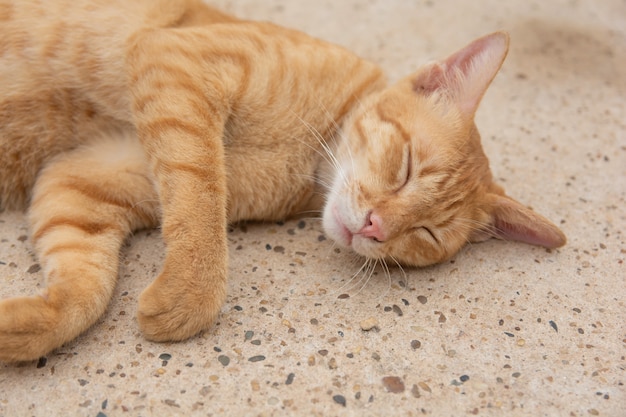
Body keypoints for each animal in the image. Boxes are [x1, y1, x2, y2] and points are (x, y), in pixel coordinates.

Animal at [0, 0, 564, 360]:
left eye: (425, 234)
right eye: (406, 168)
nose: (376, 227)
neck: (308, 159)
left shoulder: (85, 177)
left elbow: (85, 287)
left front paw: (21, 329)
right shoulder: (177, 63)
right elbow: (201, 198)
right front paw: (190, 294)